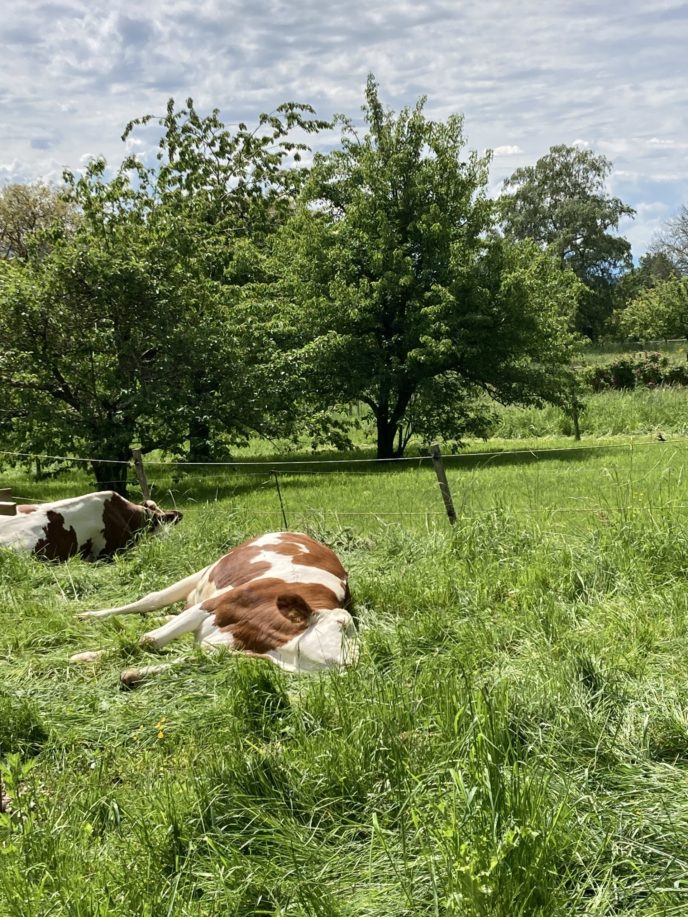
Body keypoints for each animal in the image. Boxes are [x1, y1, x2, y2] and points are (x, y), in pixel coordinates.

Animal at [74, 531, 359, 684]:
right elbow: (148, 641)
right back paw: (89, 616)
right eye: (342, 625)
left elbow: (192, 658)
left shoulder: (231, 649)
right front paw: (86, 656)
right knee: (152, 599)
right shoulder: (210, 606)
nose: (355, 660)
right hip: (205, 573)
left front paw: (134, 673)